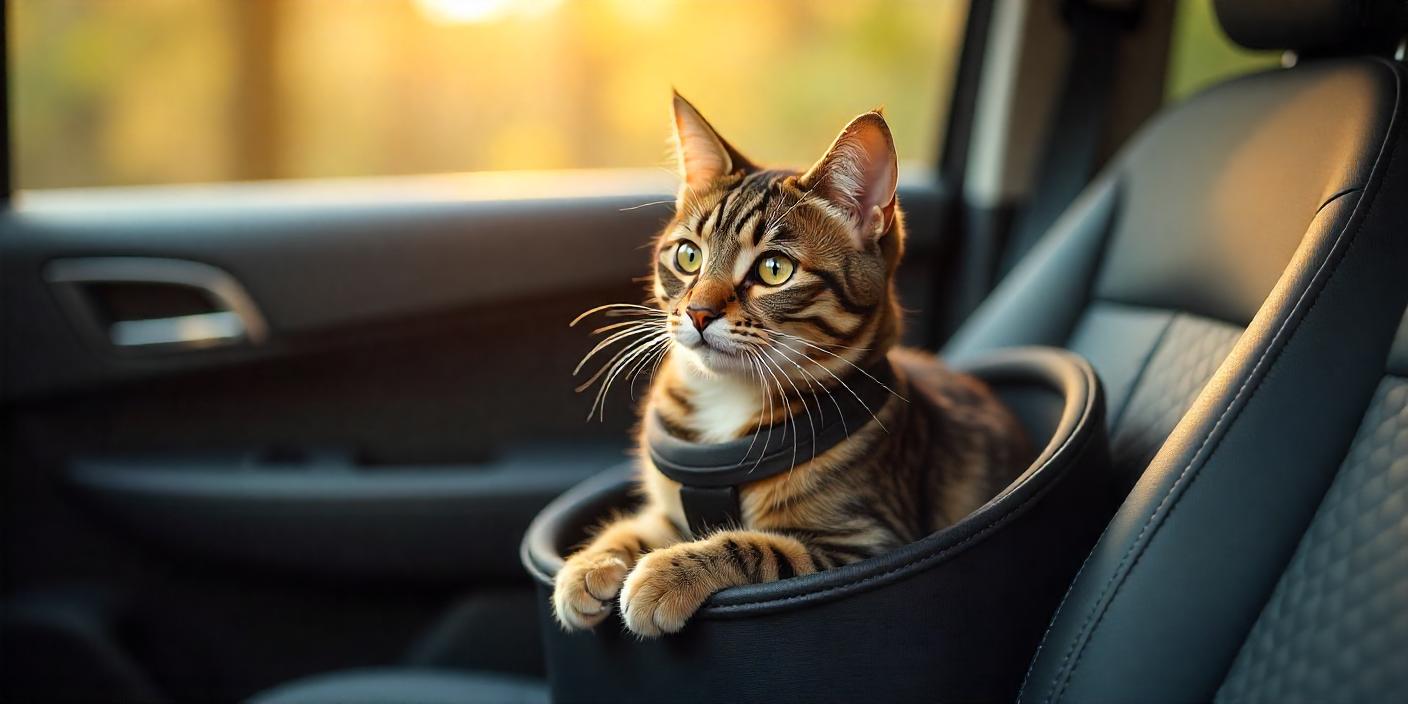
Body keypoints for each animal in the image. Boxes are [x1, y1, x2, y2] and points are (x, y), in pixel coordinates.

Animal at [554, 92, 1030, 639]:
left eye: (774, 269)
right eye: (688, 256)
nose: (698, 312)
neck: (727, 399)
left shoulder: (868, 544)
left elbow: (759, 547)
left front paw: (667, 572)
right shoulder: (669, 511)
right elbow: (638, 524)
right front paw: (591, 562)